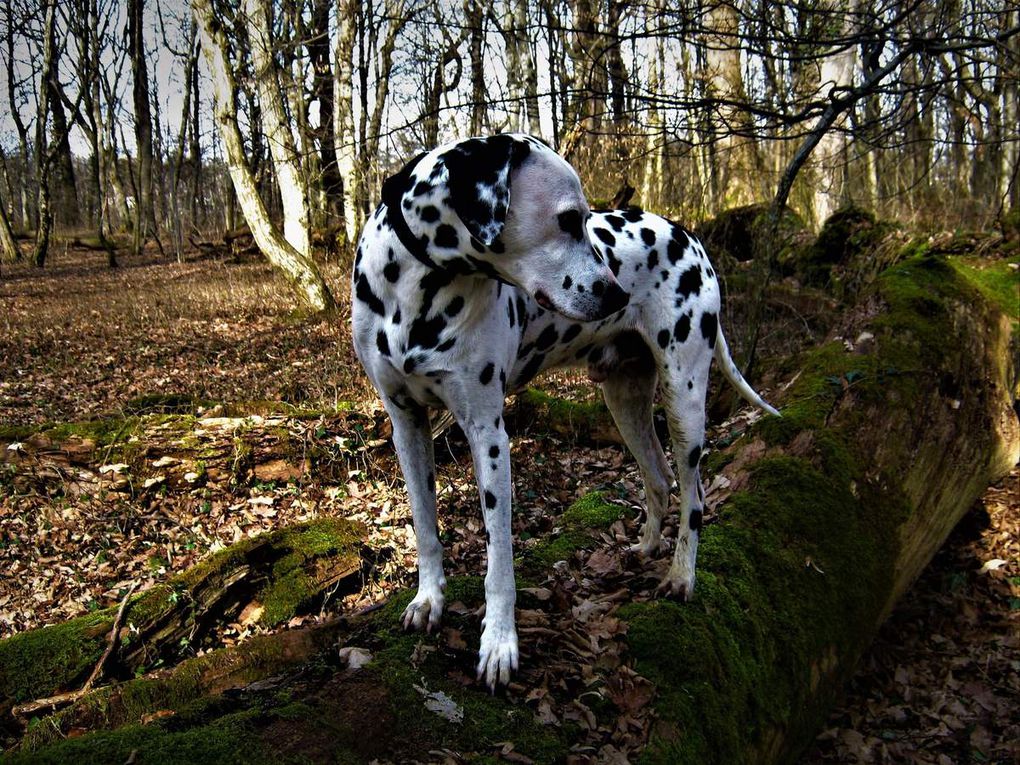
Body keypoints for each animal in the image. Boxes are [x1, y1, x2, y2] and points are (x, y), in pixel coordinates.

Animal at [350, 134, 771, 693]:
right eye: (569, 219)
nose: (616, 293)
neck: (417, 290)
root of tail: (689, 236)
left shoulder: (488, 434)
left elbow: (499, 561)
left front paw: (499, 644)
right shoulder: (407, 425)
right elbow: (424, 525)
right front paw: (429, 599)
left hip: (684, 400)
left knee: (695, 496)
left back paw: (681, 575)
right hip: (624, 402)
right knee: (658, 478)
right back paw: (646, 547)